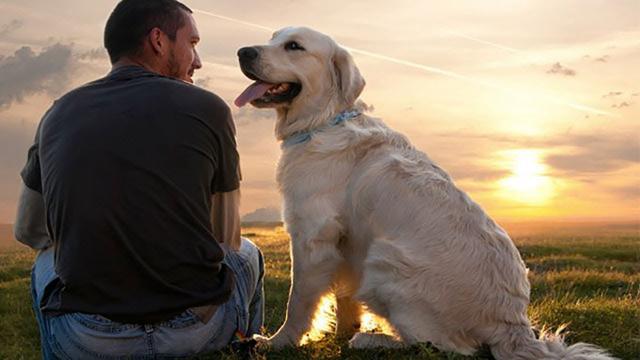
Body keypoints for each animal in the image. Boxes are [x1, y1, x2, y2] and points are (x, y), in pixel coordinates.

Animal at [235, 26, 616, 358]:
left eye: (294, 46)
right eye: (273, 37)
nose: (243, 51)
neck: (323, 122)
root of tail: (512, 325)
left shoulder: (312, 235)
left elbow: (299, 300)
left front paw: (278, 341)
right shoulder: (346, 241)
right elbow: (345, 297)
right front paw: (342, 330)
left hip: (385, 259)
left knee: (441, 345)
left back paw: (373, 340)